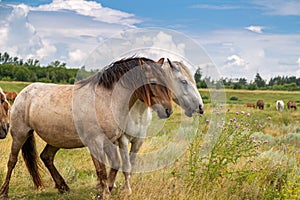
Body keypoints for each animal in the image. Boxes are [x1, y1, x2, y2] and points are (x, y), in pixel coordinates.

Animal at [0, 57, 173, 199]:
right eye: (152, 82)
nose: (168, 110)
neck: (107, 100)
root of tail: (24, 93)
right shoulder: (95, 142)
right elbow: (101, 170)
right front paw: (104, 193)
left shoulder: (110, 141)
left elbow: (115, 164)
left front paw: (105, 191)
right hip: (20, 134)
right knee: (12, 161)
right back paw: (4, 192)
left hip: (56, 139)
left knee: (46, 157)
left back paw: (63, 187)